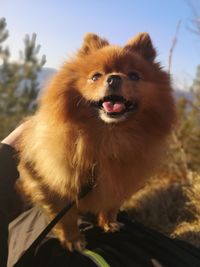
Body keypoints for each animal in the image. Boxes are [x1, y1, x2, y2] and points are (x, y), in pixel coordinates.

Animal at [16, 33, 175, 251]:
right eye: (95, 76)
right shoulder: (54, 187)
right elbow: (67, 217)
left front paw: (108, 223)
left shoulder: (120, 183)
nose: (114, 78)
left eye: (134, 76)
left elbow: (111, 205)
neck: (109, 137)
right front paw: (73, 239)